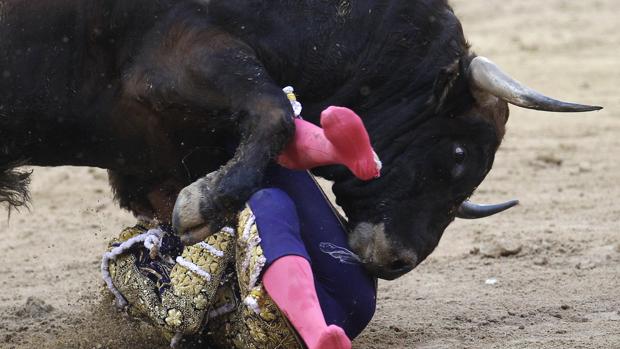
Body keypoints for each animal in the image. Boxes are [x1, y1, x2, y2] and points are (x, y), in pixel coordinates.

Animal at [0, 0, 600, 278]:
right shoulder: (179, 56)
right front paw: (201, 207)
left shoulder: (156, 154)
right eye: (458, 154)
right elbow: (275, 113)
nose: (398, 260)